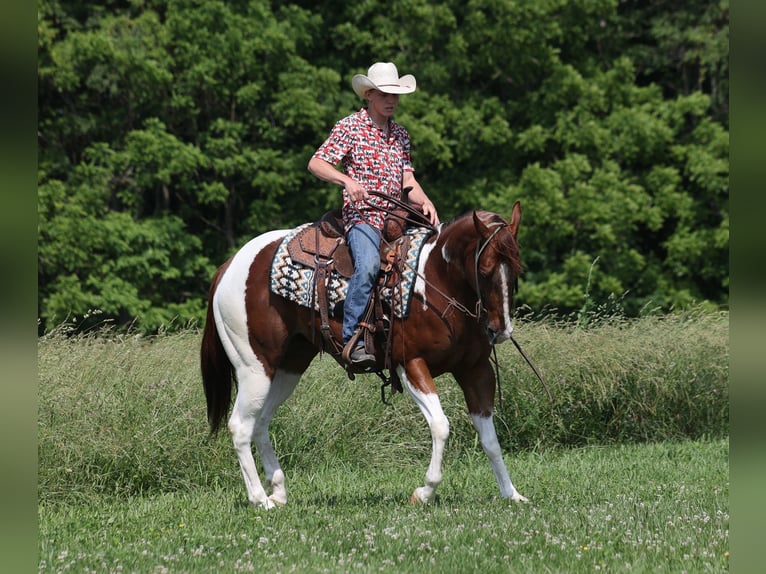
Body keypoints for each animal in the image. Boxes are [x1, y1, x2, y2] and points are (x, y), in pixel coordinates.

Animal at [200, 201, 527, 508]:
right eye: (484, 271)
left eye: (516, 271)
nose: (500, 330)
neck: (435, 282)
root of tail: (229, 266)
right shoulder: (411, 365)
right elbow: (440, 426)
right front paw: (424, 492)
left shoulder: (476, 370)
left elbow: (490, 438)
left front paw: (511, 493)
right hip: (254, 368)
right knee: (241, 426)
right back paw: (259, 499)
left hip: (287, 368)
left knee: (262, 421)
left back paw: (278, 491)